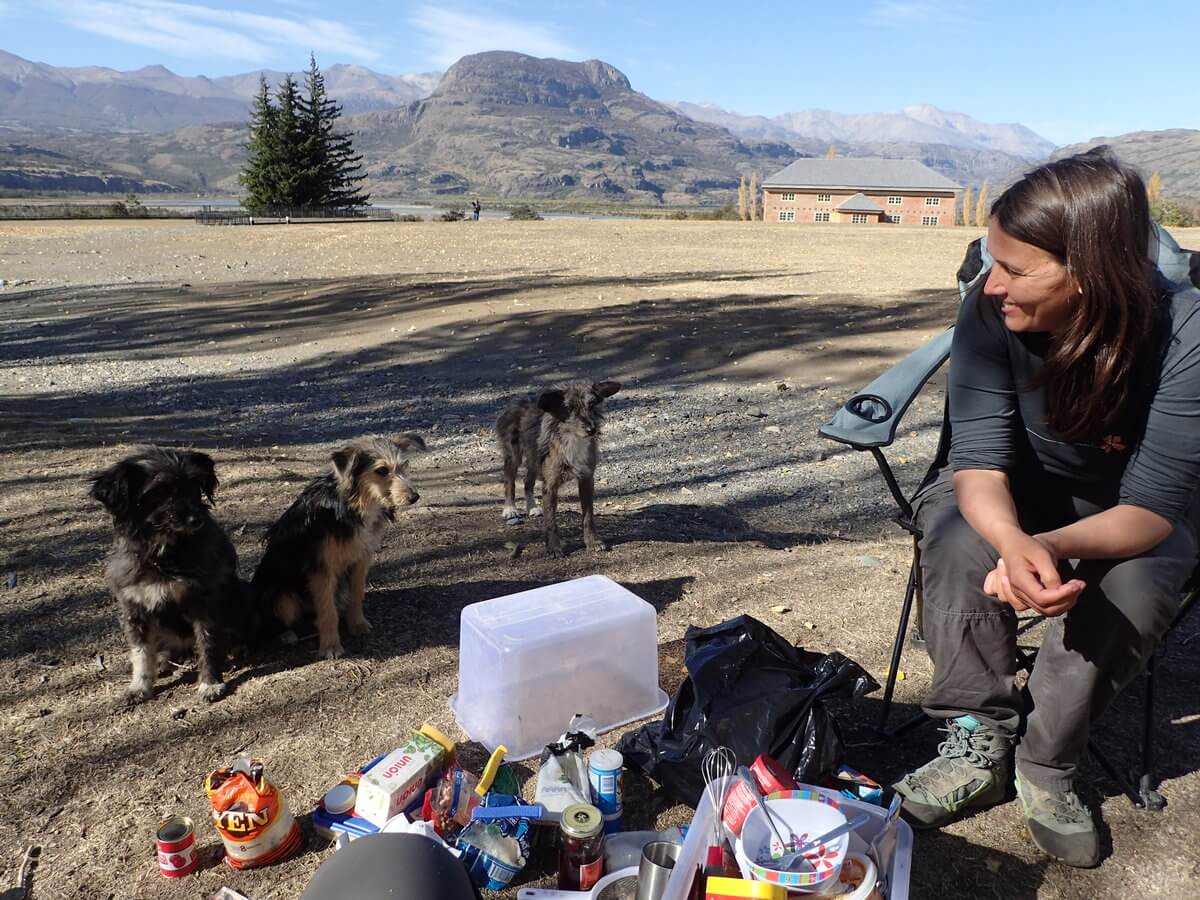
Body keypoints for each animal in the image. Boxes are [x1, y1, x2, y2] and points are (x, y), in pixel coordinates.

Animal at [89, 448, 246, 710]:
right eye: (160, 490)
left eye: (194, 484)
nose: (195, 519)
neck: (164, 555)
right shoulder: (135, 609)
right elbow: (141, 653)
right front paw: (139, 687)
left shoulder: (204, 602)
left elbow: (208, 644)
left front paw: (210, 683)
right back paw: (162, 661)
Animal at [250, 434, 424, 657]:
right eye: (381, 470)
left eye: (404, 466)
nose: (414, 497)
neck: (355, 506)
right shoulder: (322, 568)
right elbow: (327, 610)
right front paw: (331, 645)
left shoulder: (361, 559)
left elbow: (356, 594)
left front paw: (357, 624)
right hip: (281, 596)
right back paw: (286, 634)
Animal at [496, 381, 624, 556]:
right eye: (568, 407)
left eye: (591, 404)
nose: (591, 429)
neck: (572, 439)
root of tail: (519, 401)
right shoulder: (550, 484)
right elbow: (551, 520)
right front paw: (554, 548)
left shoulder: (586, 479)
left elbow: (588, 517)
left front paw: (592, 542)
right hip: (514, 455)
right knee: (510, 481)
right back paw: (510, 509)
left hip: (534, 458)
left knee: (528, 482)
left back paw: (532, 507)